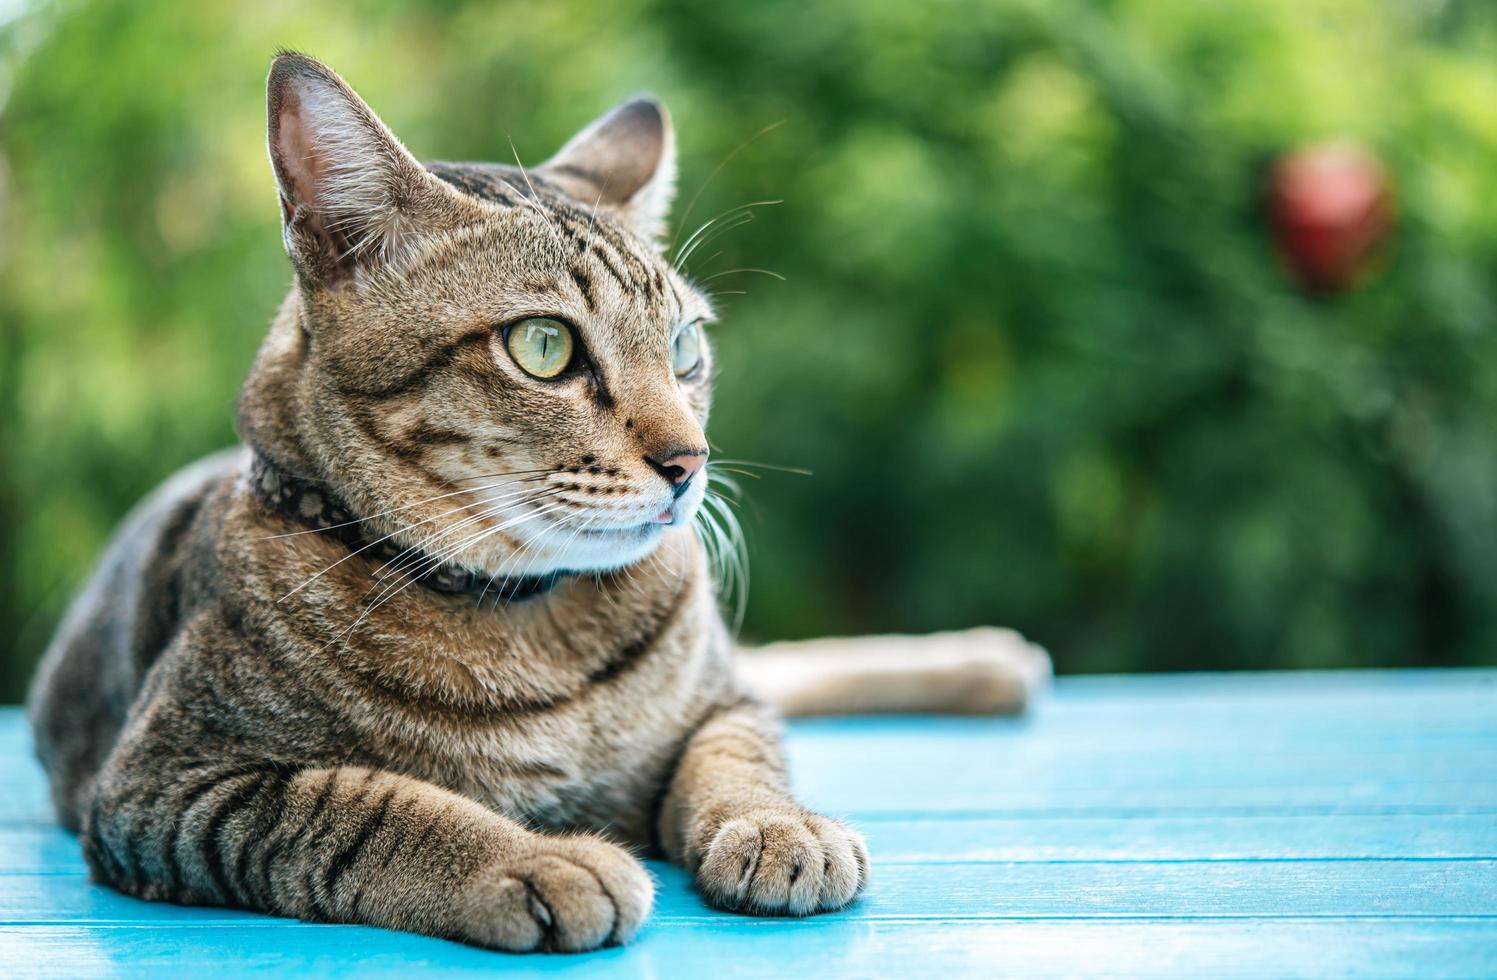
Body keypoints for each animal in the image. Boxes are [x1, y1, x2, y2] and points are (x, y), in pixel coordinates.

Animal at [26, 51, 1053, 951]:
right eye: (544, 347)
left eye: (684, 348)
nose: (690, 461)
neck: (538, 626)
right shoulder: (170, 784)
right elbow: (364, 805)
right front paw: (530, 861)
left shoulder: (721, 701)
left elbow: (736, 753)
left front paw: (777, 824)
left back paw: (987, 663)